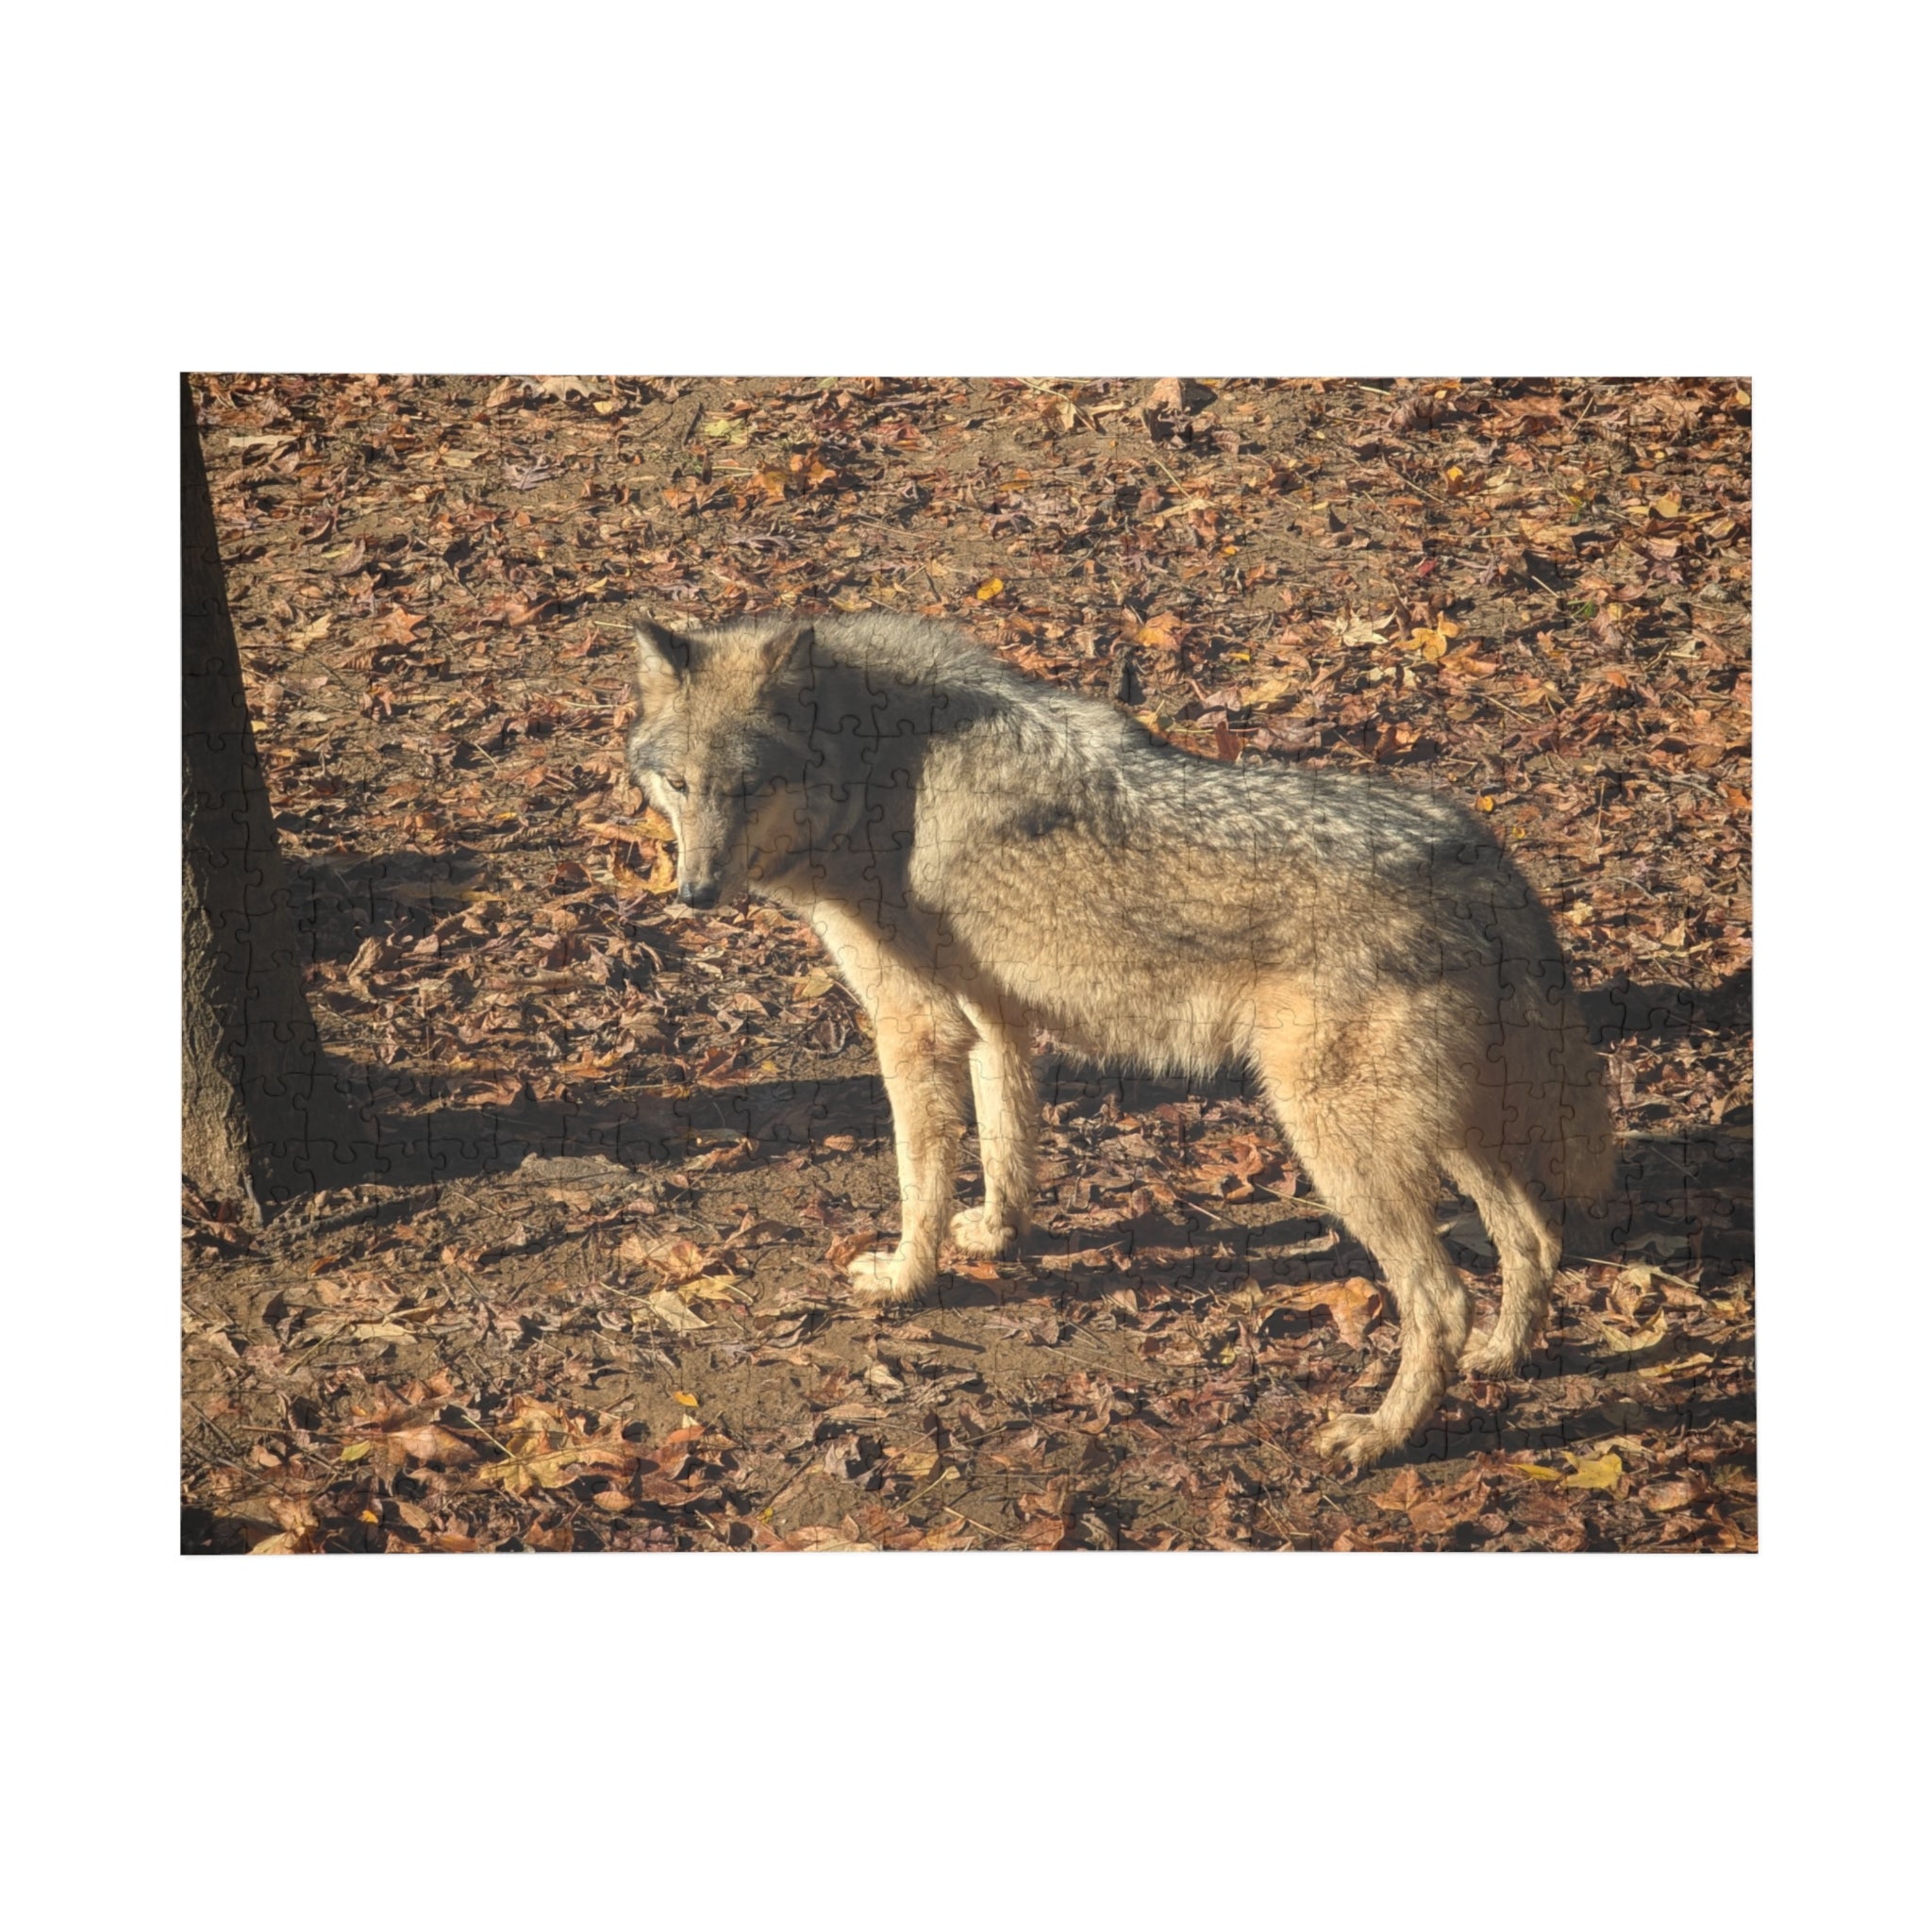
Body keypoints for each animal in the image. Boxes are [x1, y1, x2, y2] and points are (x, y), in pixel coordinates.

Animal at [624, 611, 1613, 1471]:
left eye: (746, 787)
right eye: (680, 785)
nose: (695, 895)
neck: (872, 759)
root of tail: (1481, 856)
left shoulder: (915, 1024)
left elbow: (917, 1177)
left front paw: (907, 1279)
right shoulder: (994, 1015)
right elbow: (1006, 1139)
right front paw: (995, 1233)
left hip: (1339, 1144)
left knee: (1441, 1300)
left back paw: (1378, 1438)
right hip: (1446, 1131)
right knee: (1534, 1236)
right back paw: (1504, 1358)